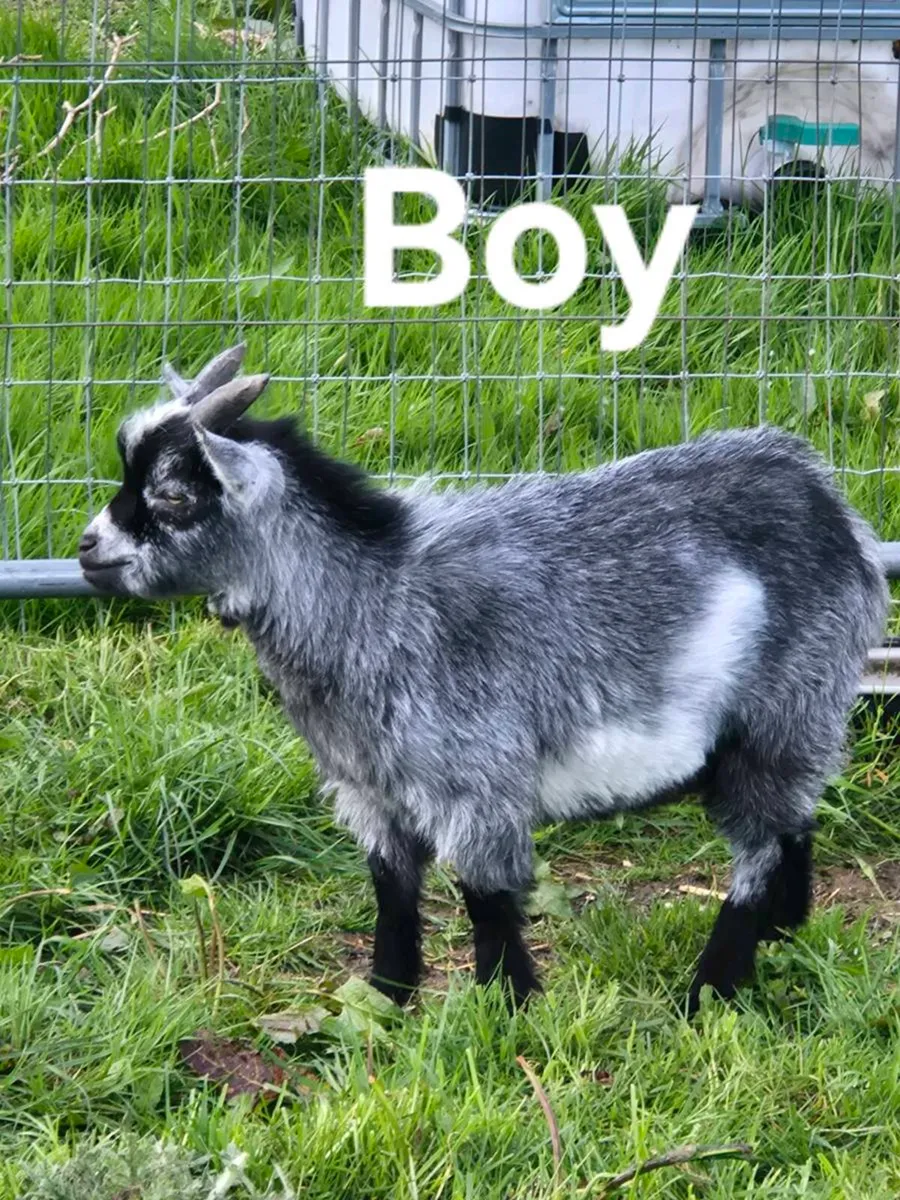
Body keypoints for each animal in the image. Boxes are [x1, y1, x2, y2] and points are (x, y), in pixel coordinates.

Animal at [79, 345, 888, 1015]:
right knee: (795, 823)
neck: (378, 600)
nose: (88, 547)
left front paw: (509, 1007)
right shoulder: (369, 789)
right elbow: (391, 889)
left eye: (175, 497)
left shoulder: (475, 780)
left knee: (760, 845)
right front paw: (387, 1000)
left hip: (784, 707)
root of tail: (829, 503)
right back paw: (785, 931)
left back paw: (710, 990)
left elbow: (485, 896)